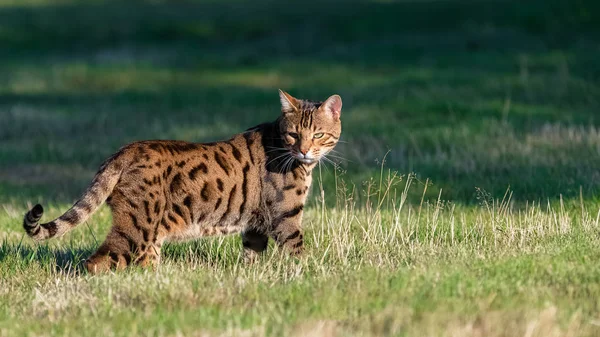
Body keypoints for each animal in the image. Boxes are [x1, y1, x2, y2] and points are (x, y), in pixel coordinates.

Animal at [22, 90, 342, 272]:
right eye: (293, 135)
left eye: (318, 135)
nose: (303, 150)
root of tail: (124, 150)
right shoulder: (285, 216)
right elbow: (298, 252)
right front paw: (311, 277)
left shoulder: (256, 224)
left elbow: (251, 256)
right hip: (138, 227)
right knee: (97, 261)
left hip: (150, 234)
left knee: (142, 260)